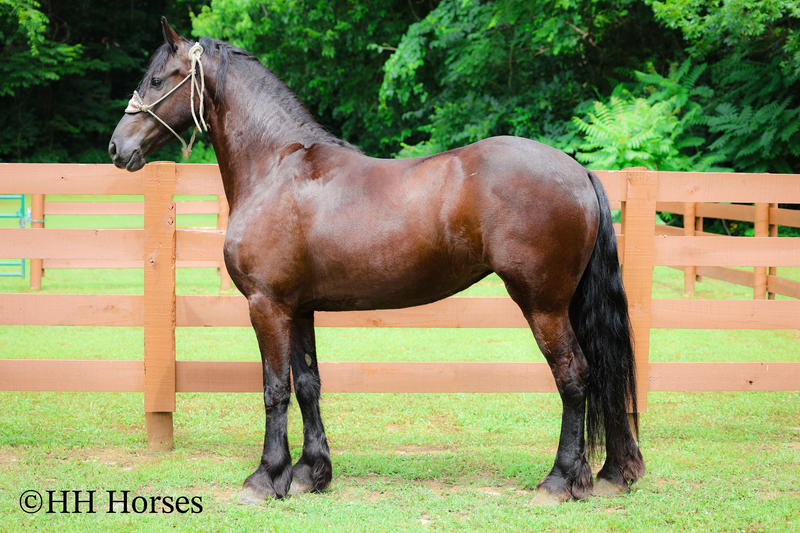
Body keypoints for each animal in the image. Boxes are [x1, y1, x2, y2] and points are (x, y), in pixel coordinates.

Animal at [109, 17, 644, 505]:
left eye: (158, 79)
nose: (118, 147)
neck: (277, 166)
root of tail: (578, 171)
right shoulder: (298, 309)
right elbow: (308, 385)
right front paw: (310, 475)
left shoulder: (267, 305)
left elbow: (274, 389)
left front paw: (265, 478)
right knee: (596, 374)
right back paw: (606, 473)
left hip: (543, 305)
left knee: (574, 376)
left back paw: (558, 481)